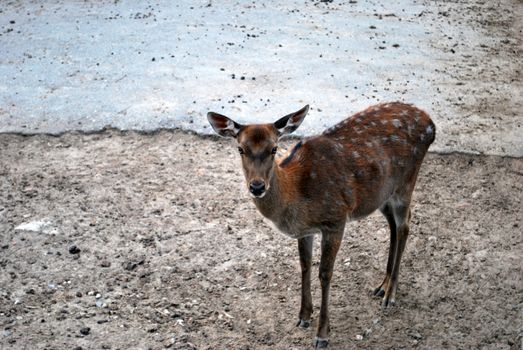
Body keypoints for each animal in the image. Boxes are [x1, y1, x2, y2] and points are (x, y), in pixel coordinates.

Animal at [207, 102, 436, 348]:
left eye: (274, 149)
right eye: (241, 149)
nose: (257, 186)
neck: (296, 197)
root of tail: (431, 123)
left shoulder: (336, 219)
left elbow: (325, 274)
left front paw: (322, 334)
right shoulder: (305, 231)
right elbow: (305, 265)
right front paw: (303, 316)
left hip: (406, 182)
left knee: (405, 225)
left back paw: (390, 294)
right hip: (381, 194)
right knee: (393, 224)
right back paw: (382, 285)